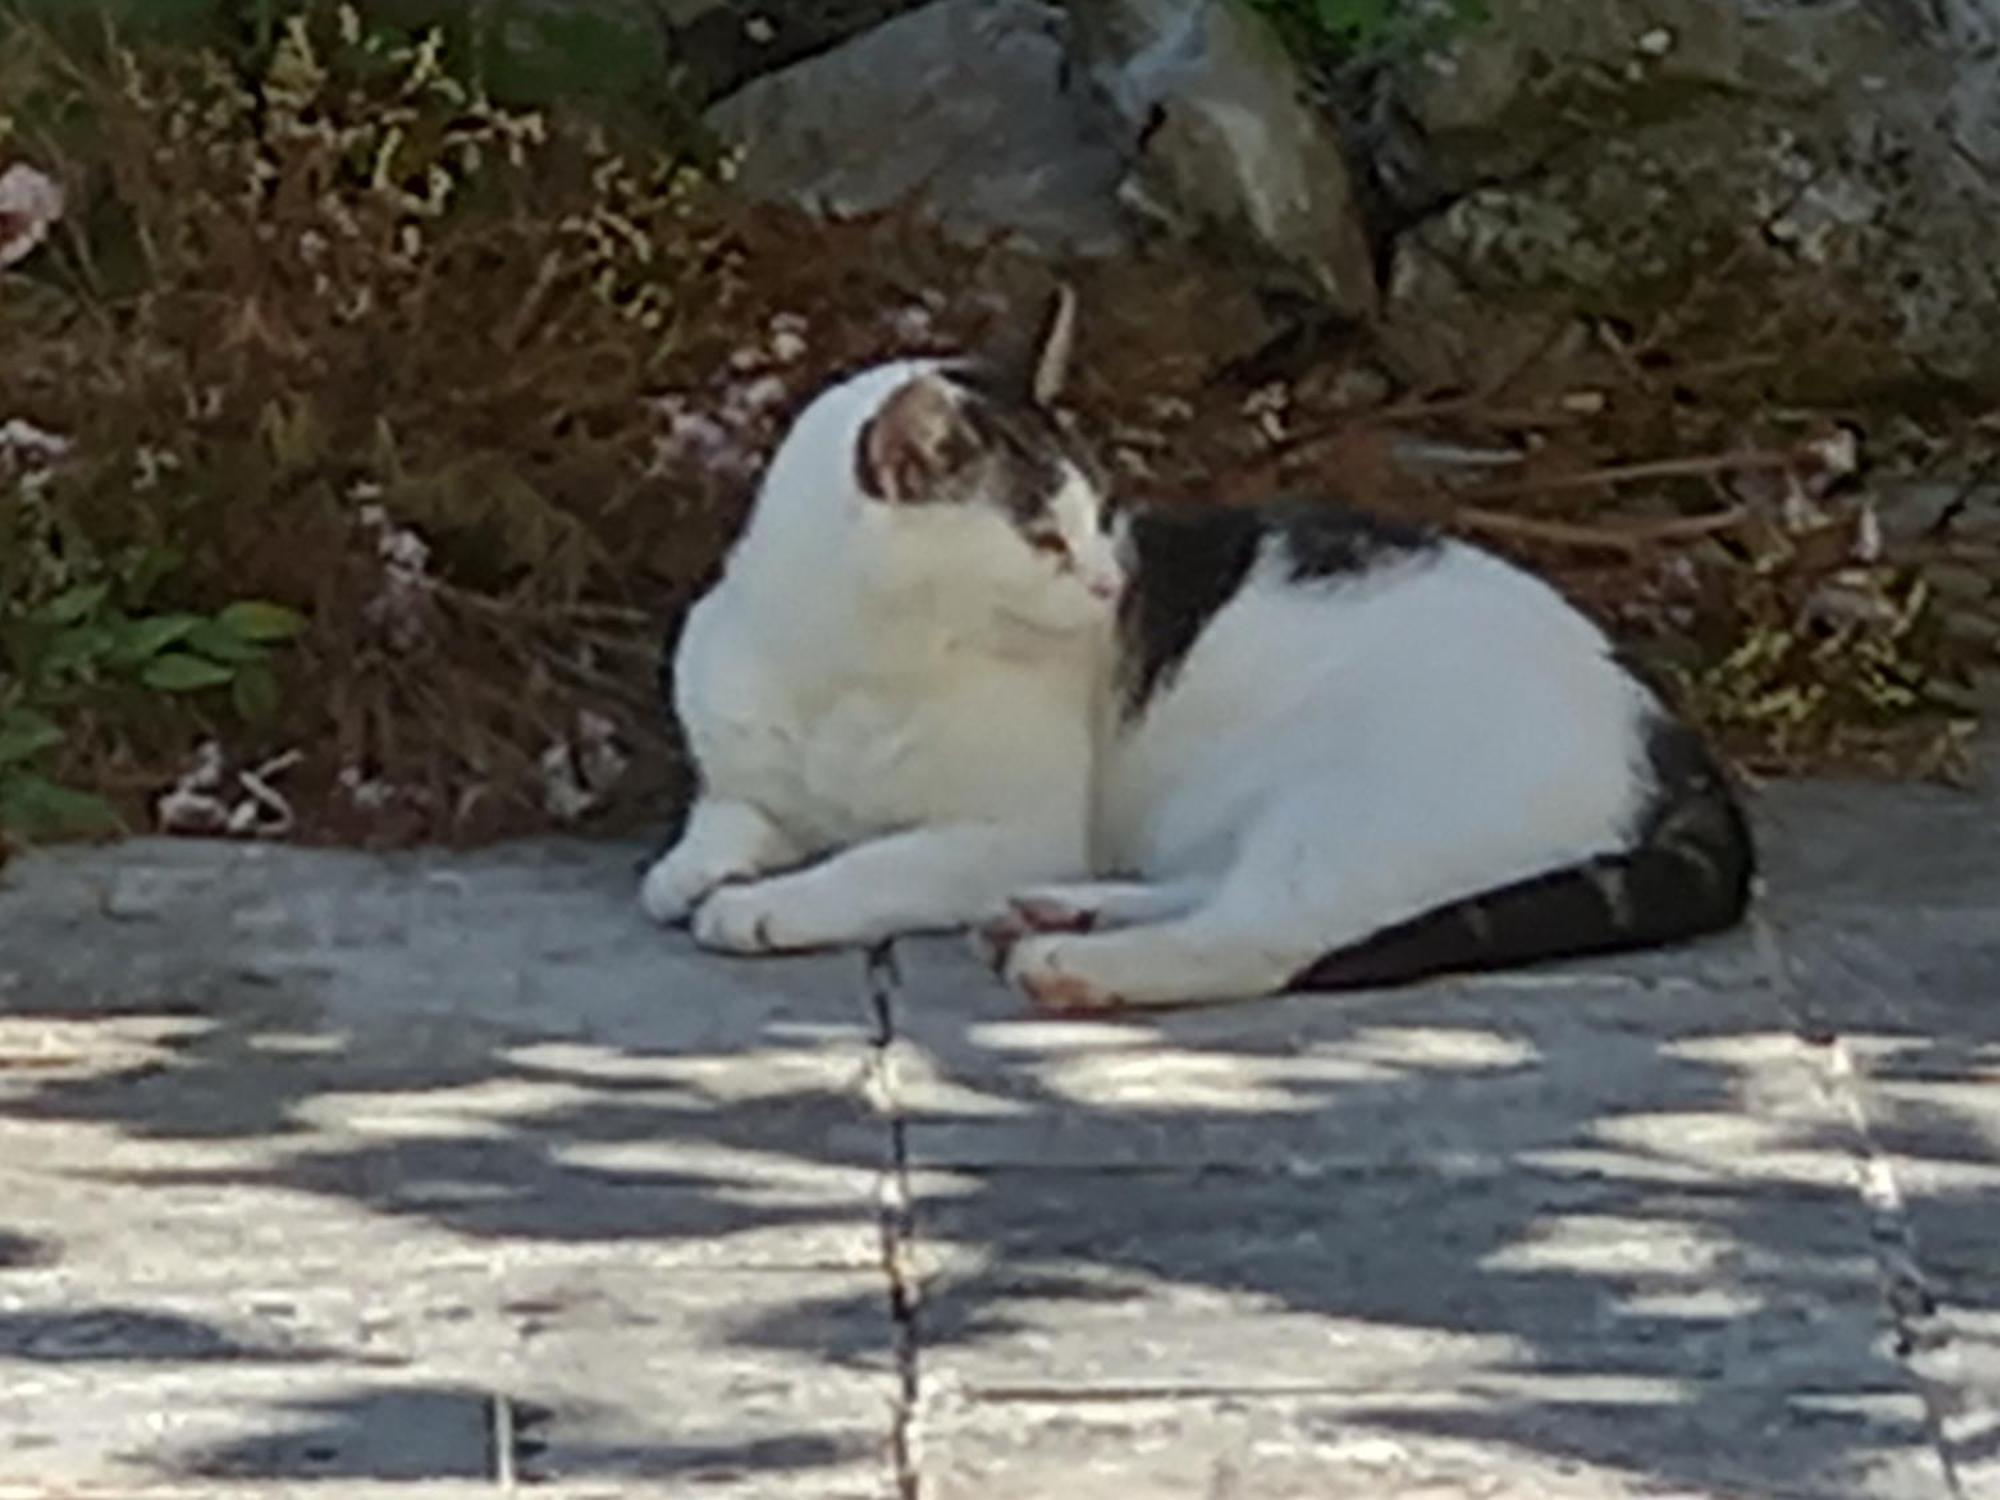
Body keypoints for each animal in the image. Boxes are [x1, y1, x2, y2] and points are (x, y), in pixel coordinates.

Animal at [640, 288, 1752, 1016]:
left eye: (1100, 521)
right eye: (1045, 540)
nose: (1108, 586)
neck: (858, 668)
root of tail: (1663, 726)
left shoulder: (1007, 830)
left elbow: (872, 863)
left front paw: (765, 905)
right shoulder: (746, 773)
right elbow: (725, 819)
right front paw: (692, 872)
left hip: (1340, 806)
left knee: (1261, 936)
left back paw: (1075, 964)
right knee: (1215, 887)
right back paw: (1064, 914)